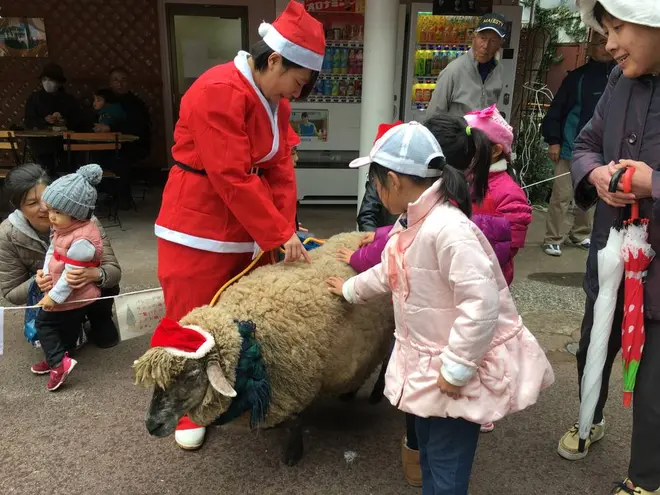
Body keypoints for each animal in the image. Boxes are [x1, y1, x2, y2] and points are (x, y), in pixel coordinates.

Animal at [131, 232, 394, 464]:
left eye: (191, 376)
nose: (151, 425)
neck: (248, 343)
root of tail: (359, 232)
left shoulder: (297, 383)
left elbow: (295, 421)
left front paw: (292, 454)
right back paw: (349, 393)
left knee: (385, 364)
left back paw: (375, 393)